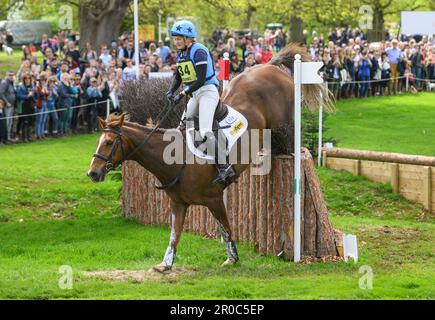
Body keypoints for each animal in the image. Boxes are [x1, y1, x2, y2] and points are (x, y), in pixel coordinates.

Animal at [87, 43, 332, 272]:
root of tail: (270, 66)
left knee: (290, 137)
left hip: (286, 120)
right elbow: (175, 235)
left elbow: (226, 228)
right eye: (99, 141)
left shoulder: (214, 198)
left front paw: (232, 258)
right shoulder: (179, 204)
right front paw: (165, 264)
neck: (176, 160)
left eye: (109, 142)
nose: (92, 173)